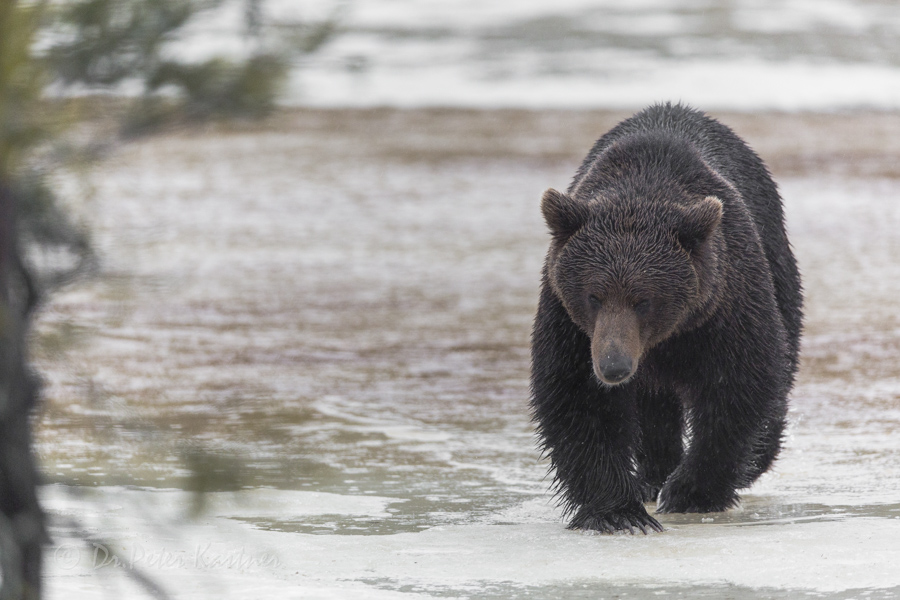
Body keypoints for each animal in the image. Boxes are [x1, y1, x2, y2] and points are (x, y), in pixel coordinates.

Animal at [528, 103, 800, 536]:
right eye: (593, 295)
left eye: (643, 300)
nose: (614, 366)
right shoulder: (568, 319)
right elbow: (577, 397)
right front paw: (618, 511)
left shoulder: (723, 305)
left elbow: (739, 384)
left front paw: (691, 492)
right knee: (654, 408)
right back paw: (652, 475)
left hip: (777, 263)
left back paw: (752, 459)